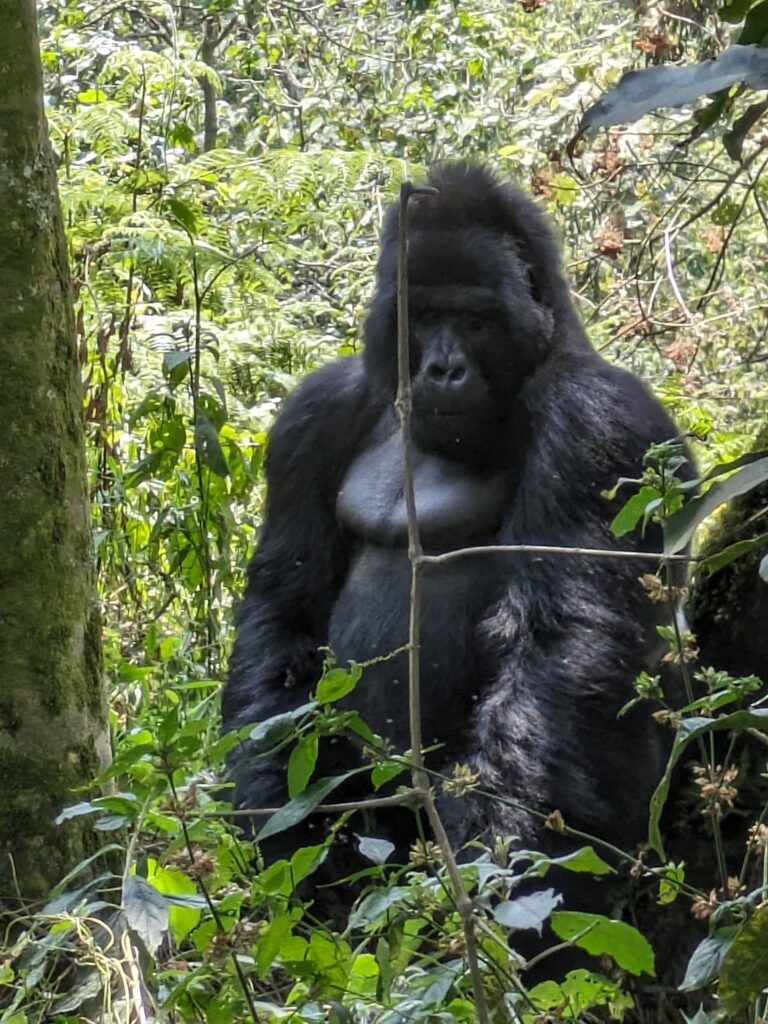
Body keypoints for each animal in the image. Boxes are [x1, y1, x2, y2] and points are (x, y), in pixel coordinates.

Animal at [222, 159, 684, 880]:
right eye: (425, 316)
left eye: (475, 320)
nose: (443, 369)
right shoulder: (314, 413)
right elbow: (283, 615)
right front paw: (276, 830)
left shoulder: (596, 418)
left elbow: (560, 645)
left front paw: (502, 866)